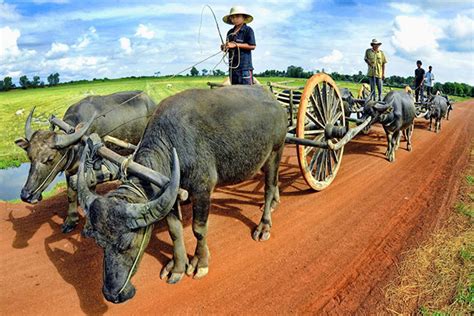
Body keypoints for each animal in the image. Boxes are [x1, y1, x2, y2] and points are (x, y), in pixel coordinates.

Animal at [13, 90, 156, 232]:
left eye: (50, 158)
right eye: (29, 157)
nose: (26, 195)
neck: (78, 143)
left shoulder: (91, 169)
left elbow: (89, 193)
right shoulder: (70, 169)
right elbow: (70, 194)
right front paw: (71, 221)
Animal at [76, 85, 286, 302]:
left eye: (127, 244)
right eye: (99, 242)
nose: (112, 295)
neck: (171, 143)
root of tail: (275, 101)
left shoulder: (202, 190)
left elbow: (198, 229)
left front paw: (200, 263)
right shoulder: (169, 192)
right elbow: (174, 231)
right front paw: (177, 267)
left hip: (276, 151)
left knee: (269, 186)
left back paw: (264, 223)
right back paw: (275, 202)